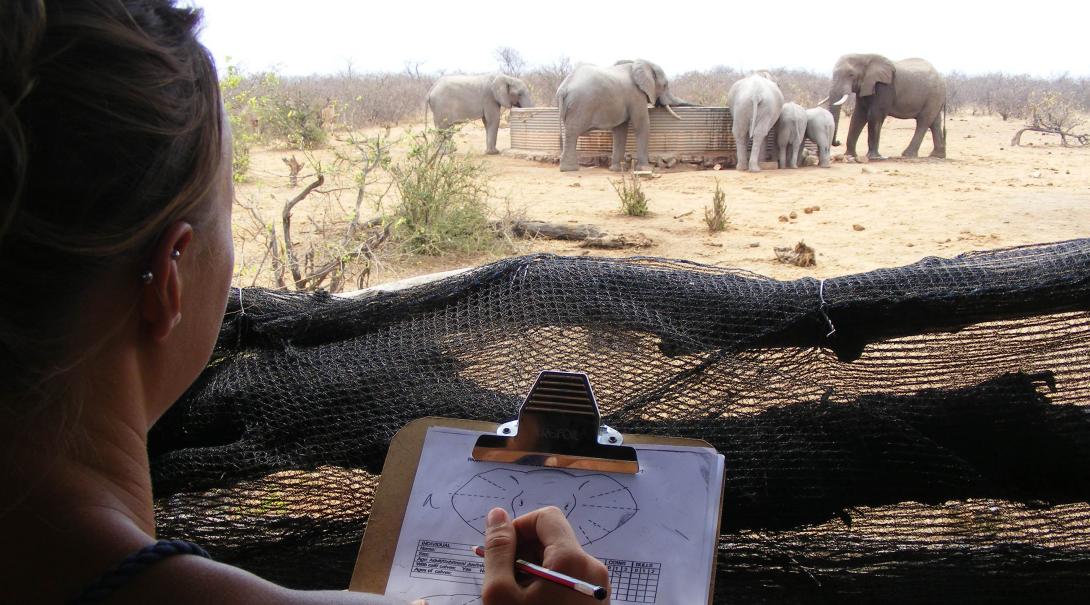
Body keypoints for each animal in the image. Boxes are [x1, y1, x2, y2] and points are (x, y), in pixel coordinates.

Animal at [558, 58, 693, 173]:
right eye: (665, 85)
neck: (641, 63)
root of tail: (563, 88)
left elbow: (620, 129)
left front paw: (616, 170)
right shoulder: (636, 95)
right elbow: (641, 124)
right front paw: (645, 169)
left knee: (569, 132)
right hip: (579, 106)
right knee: (573, 133)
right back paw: (570, 169)